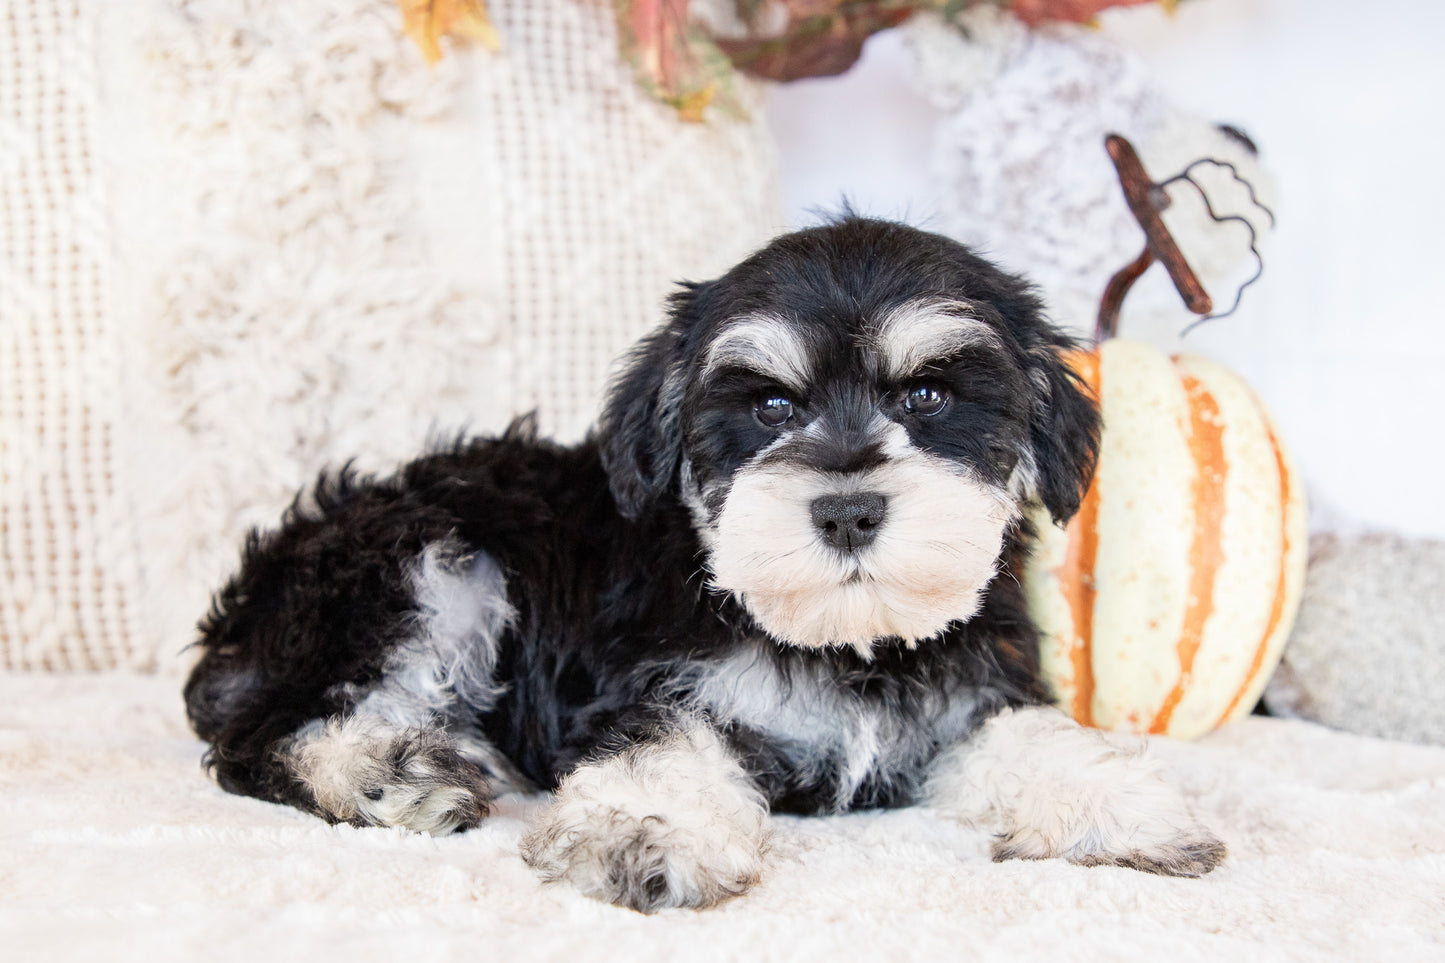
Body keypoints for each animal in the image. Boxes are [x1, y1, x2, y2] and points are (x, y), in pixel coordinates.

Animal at [180, 215, 1219, 908]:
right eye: (769, 406)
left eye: (927, 396)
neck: (846, 641)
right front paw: (644, 829)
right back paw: (390, 774)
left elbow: (1029, 735)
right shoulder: (650, 684)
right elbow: (662, 748)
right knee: (260, 737)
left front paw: (1120, 801)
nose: (847, 510)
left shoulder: (970, 696)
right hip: (427, 565)